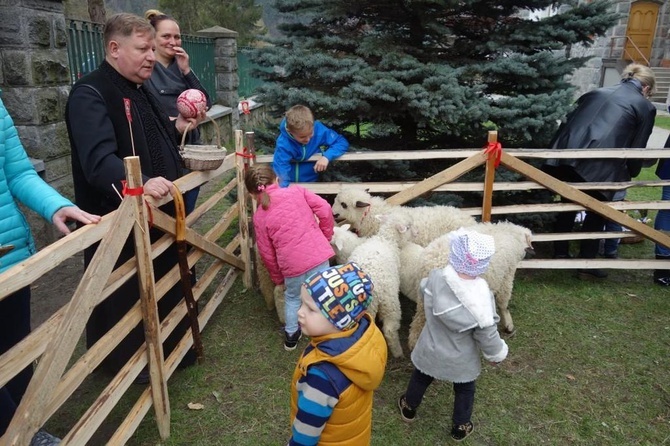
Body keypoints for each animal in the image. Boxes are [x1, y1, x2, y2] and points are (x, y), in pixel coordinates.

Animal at [330, 213, 414, 358]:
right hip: (390, 302)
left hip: (368, 307)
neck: (385, 239)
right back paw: (398, 352)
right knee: (390, 329)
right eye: (408, 227)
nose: (416, 233)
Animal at [404, 221, 536, 350]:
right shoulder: (506, 276)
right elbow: (503, 303)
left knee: (419, 319)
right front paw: (508, 325)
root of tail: (428, 264)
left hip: (424, 298)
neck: (511, 235)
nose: (533, 253)